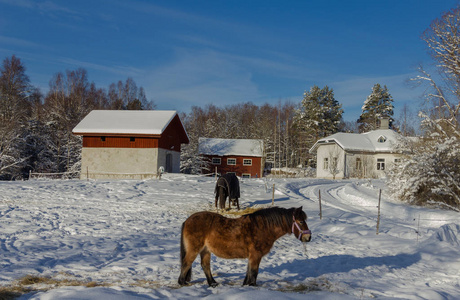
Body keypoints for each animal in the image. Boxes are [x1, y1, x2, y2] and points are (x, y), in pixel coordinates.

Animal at [178, 206, 310, 286]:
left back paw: (213, 283)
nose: (308, 237)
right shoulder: (256, 255)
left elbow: (249, 271)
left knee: (205, 266)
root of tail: (187, 220)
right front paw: (252, 285)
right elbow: (254, 272)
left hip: (205, 250)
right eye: (301, 221)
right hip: (194, 249)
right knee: (186, 263)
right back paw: (182, 282)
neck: (263, 227)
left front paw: (246, 285)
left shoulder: (252, 256)